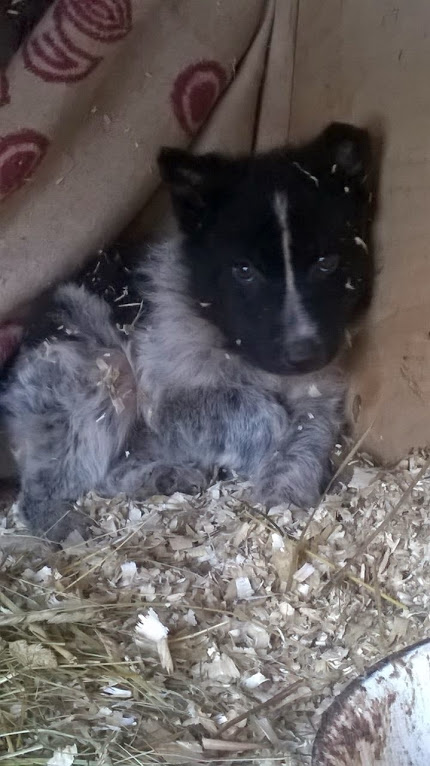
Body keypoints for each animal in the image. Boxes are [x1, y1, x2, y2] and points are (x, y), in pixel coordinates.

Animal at [0, 122, 375, 541]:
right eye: (243, 270)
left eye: (327, 263)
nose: (303, 354)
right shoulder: (168, 404)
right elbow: (255, 410)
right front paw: (268, 445)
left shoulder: (319, 390)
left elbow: (311, 429)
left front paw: (286, 491)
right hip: (95, 374)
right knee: (44, 491)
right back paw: (67, 527)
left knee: (110, 474)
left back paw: (166, 477)